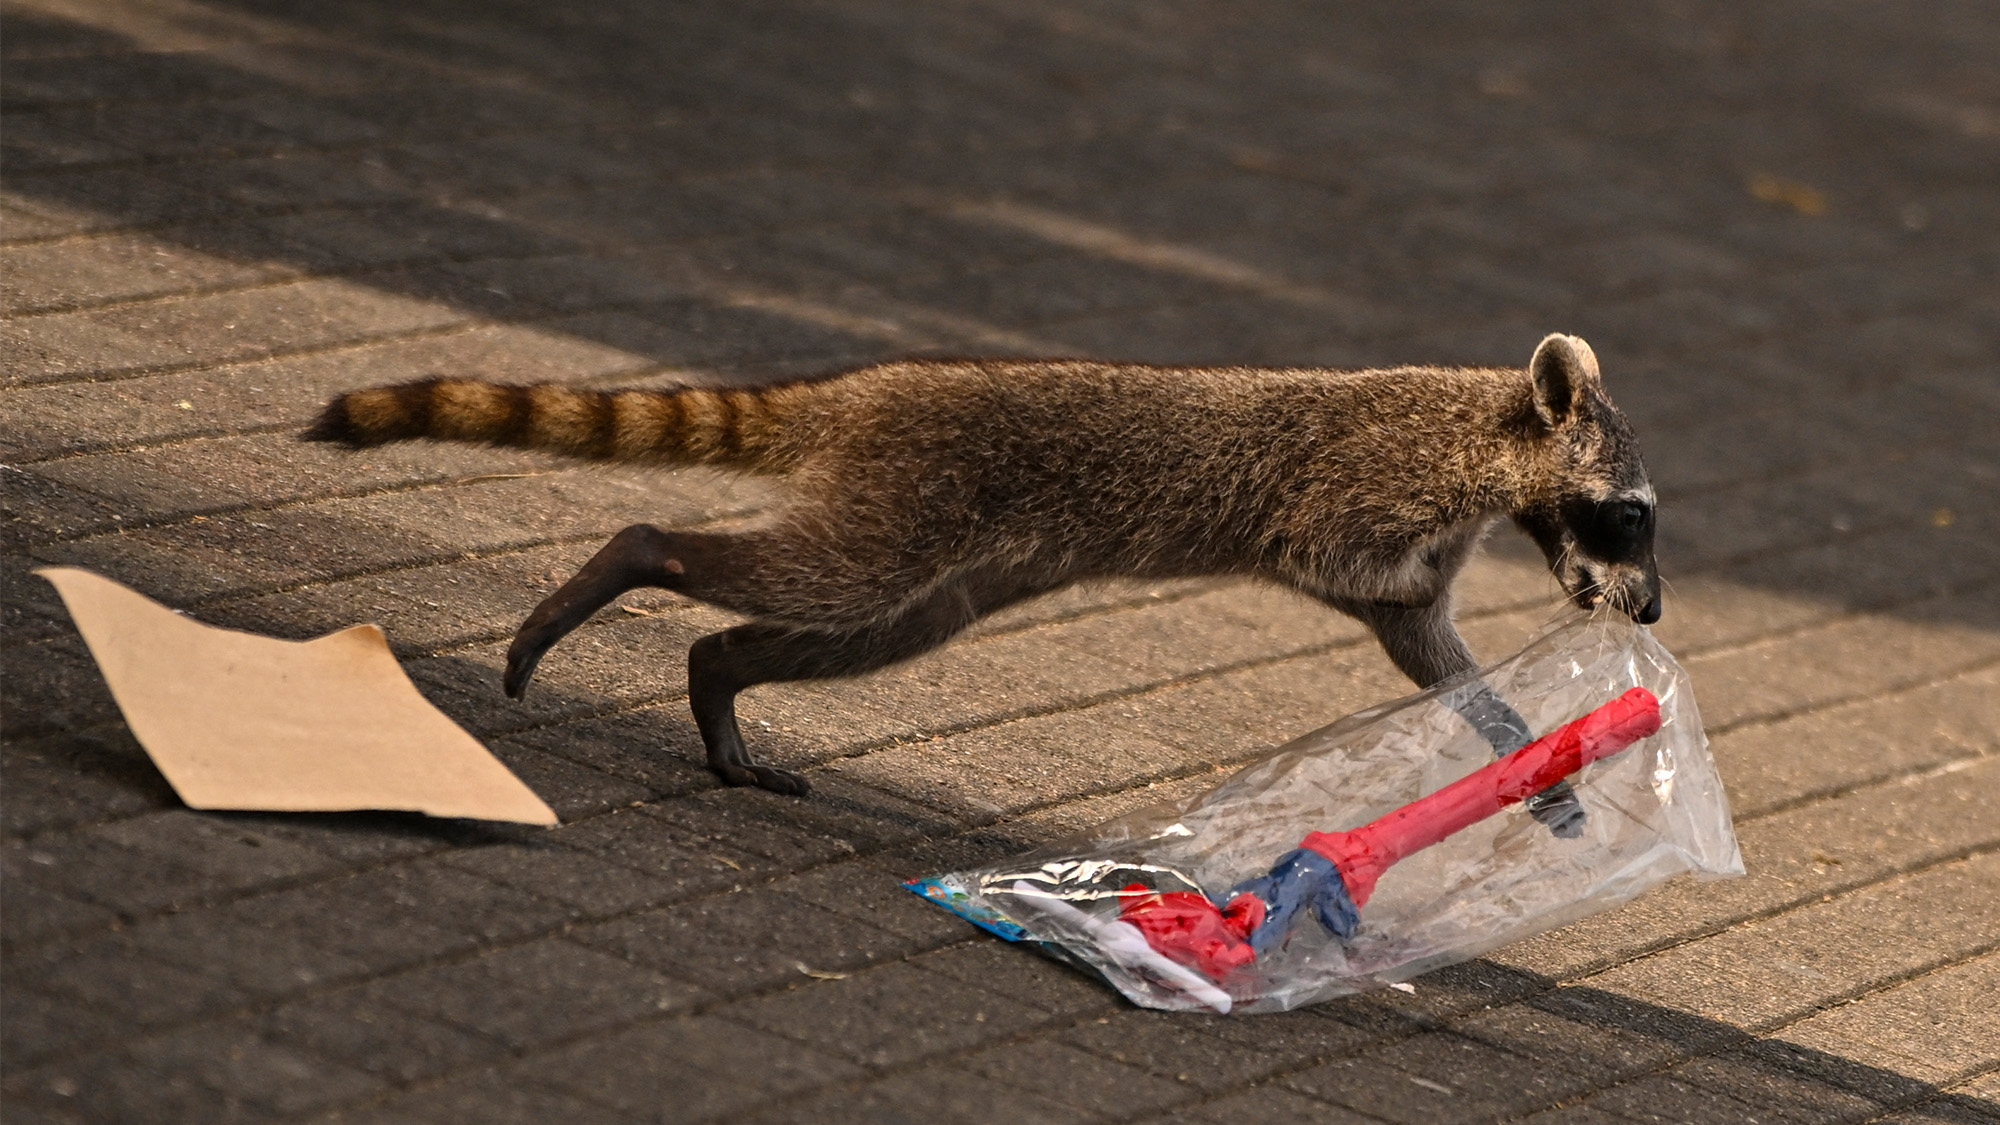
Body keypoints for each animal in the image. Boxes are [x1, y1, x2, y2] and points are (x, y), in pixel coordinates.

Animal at [305, 334, 1661, 812]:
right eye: (1631, 517)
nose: (1647, 606)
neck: (1493, 432)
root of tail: (866, 391)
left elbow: (1420, 643)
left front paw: (1513, 737)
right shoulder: (1364, 484)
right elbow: (1337, 561)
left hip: (936, 561)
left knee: (846, 629)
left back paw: (716, 684)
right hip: (905, 506)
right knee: (810, 577)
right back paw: (640, 562)